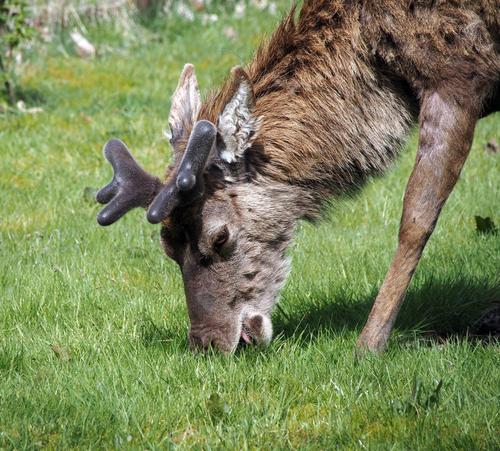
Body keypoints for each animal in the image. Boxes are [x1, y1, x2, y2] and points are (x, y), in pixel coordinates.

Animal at [95, 0, 498, 354]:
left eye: (220, 236)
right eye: (168, 247)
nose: (206, 343)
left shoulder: (458, 77)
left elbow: (416, 219)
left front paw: (369, 345)